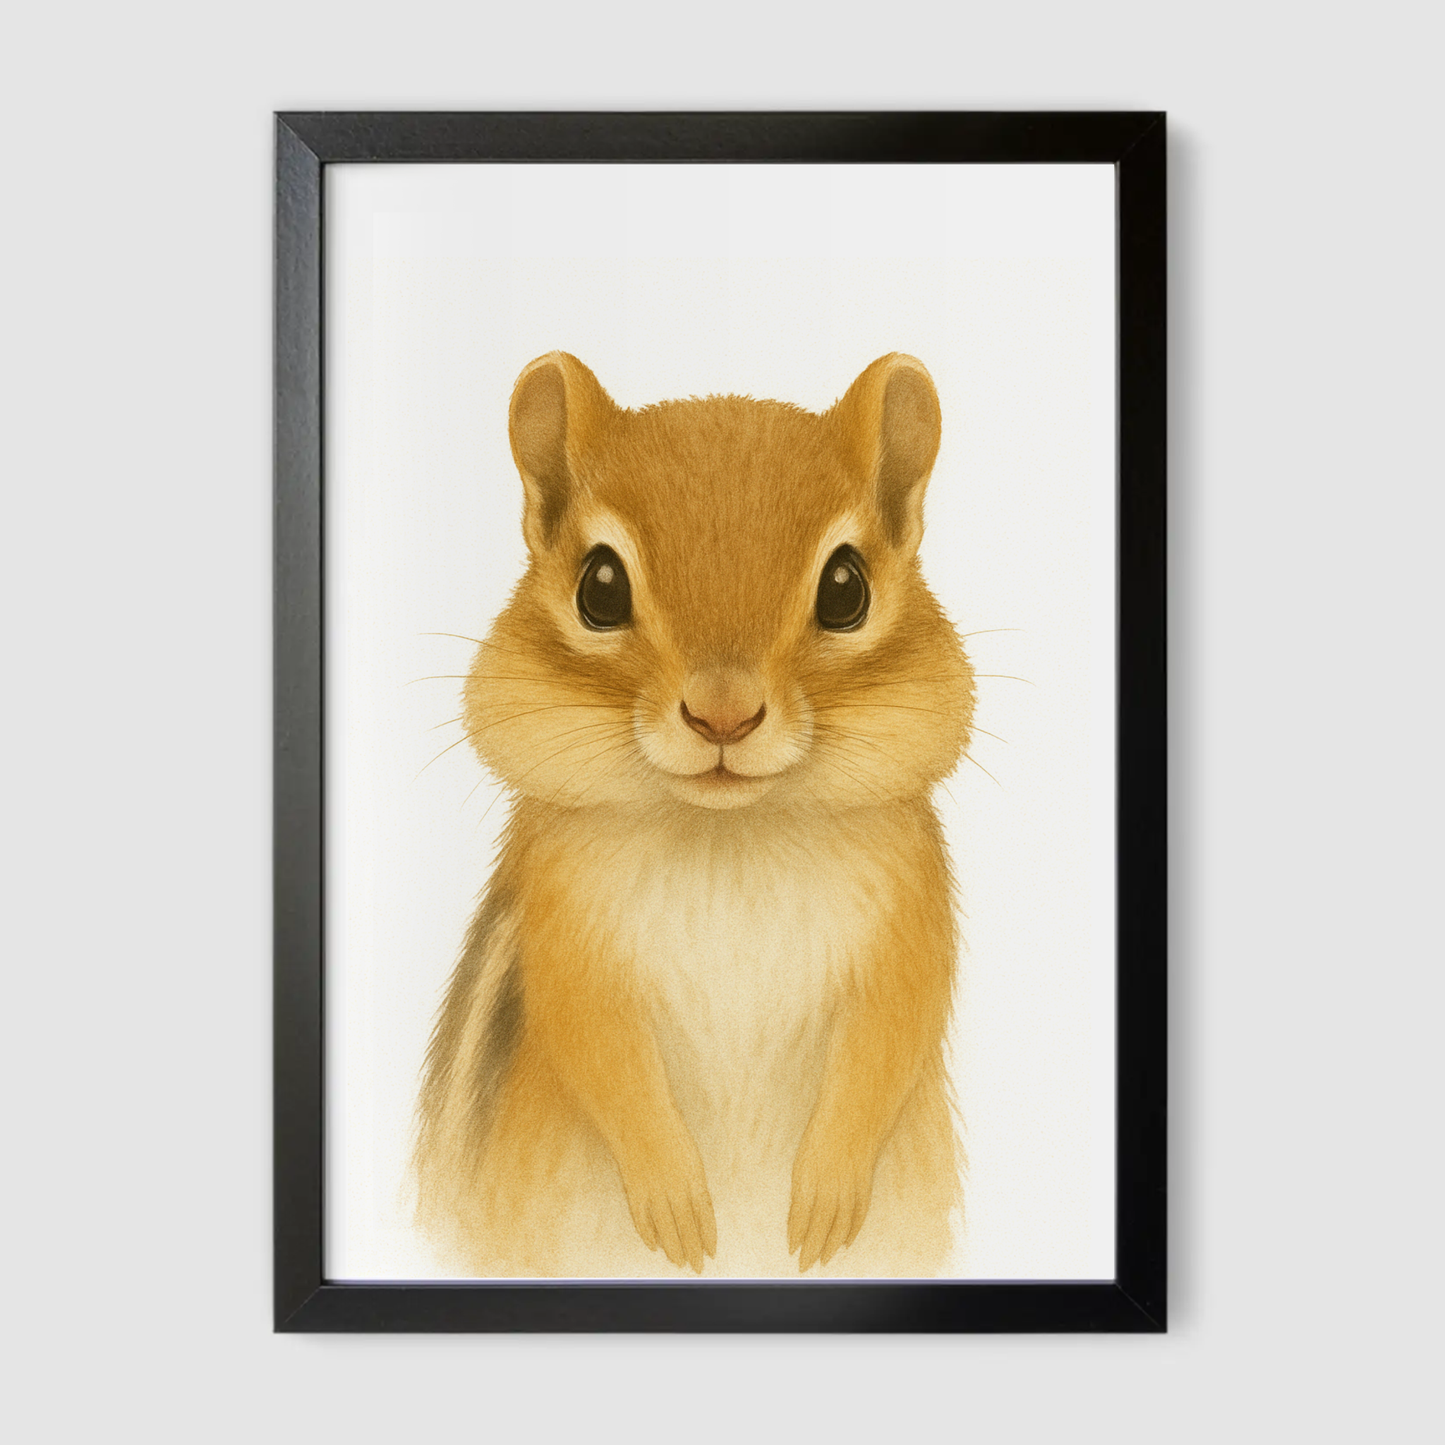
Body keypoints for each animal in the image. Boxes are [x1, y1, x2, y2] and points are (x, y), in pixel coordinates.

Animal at [414, 352, 975, 1277]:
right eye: (599, 586)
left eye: (845, 587)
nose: (722, 714)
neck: (728, 833)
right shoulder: (560, 929)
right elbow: (593, 1039)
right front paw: (674, 1199)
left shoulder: (911, 915)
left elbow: (895, 1023)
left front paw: (824, 1197)